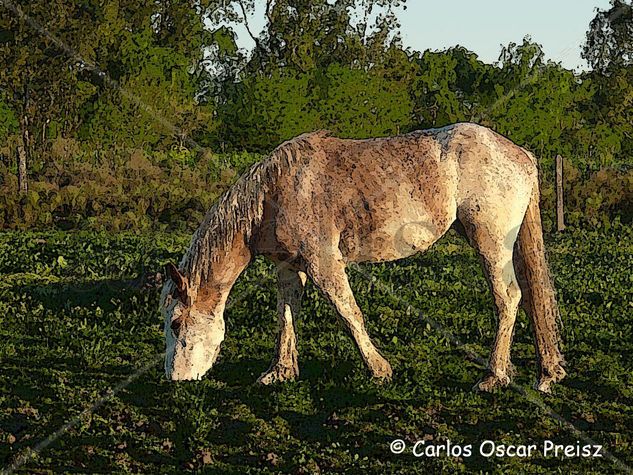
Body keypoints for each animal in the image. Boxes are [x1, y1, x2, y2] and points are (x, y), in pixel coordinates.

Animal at [160, 122, 564, 394]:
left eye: (177, 324)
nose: (175, 379)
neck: (275, 192)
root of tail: (521, 155)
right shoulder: (290, 268)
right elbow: (286, 315)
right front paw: (281, 372)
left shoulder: (324, 263)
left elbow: (349, 313)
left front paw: (379, 370)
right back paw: (546, 372)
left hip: (490, 242)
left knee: (508, 298)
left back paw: (494, 376)